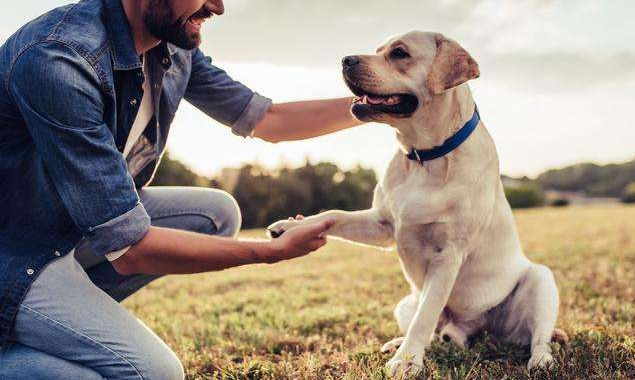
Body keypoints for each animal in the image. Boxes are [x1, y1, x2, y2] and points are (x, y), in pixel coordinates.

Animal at [268, 31, 568, 376]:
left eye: (400, 53)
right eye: (378, 50)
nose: (345, 60)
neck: (424, 157)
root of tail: (474, 331)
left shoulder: (449, 254)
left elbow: (426, 316)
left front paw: (407, 361)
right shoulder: (382, 224)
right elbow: (333, 214)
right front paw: (290, 227)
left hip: (540, 279)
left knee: (537, 336)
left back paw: (541, 360)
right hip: (404, 303)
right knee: (436, 331)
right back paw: (402, 341)